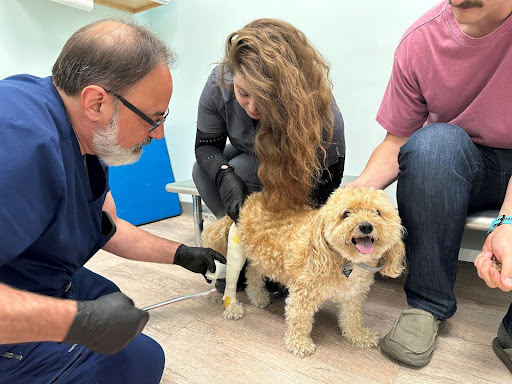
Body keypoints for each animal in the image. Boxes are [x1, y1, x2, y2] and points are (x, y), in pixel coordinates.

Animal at [202, 186, 406, 356]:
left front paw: (360, 335)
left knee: (252, 273)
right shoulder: (303, 294)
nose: (366, 226)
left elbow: (353, 318)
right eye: (346, 213)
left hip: (260, 256)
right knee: (231, 284)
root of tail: (249, 199)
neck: (343, 260)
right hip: (237, 253)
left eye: (377, 212)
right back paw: (232, 308)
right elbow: (299, 320)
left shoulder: (353, 295)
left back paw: (258, 297)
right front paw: (299, 344)